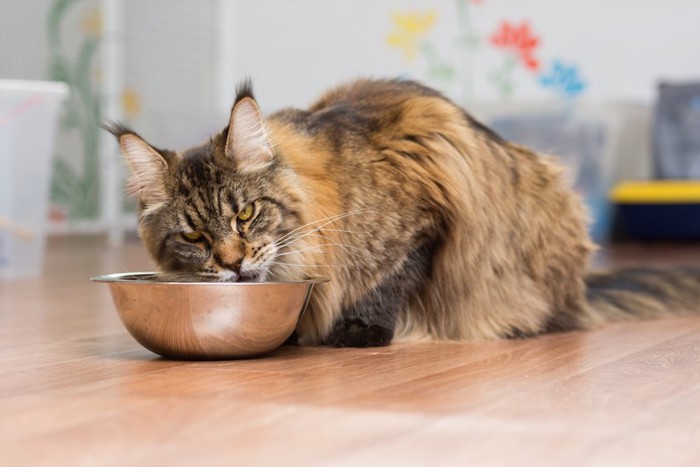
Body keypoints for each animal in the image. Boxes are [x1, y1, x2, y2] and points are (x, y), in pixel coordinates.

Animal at [104, 77, 700, 348]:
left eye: (246, 213)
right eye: (195, 238)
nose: (231, 263)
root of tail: (580, 288)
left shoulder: (427, 209)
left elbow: (389, 278)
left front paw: (358, 331)